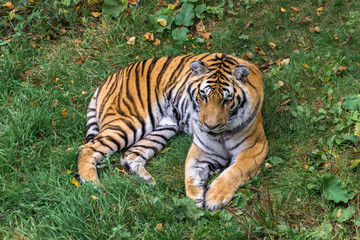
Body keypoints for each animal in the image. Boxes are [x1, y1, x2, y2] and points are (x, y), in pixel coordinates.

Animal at [78, 52, 268, 210]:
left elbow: (234, 171)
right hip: (130, 122)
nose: (209, 126)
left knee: (130, 155)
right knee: (87, 149)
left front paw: (213, 196)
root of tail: (109, 78)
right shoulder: (202, 149)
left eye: (227, 100)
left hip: (163, 128)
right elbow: (190, 172)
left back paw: (148, 180)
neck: (220, 134)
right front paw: (195, 196)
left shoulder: (255, 147)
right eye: (203, 96)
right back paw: (92, 183)